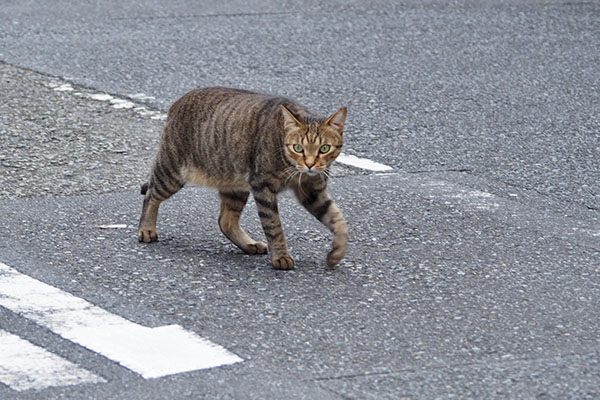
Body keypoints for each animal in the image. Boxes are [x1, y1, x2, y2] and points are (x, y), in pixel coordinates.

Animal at [137, 86, 346, 268]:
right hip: (172, 173)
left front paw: (338, 252)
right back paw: (146, 229)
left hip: (235, 185)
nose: (310, 164)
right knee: (150, 194)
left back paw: (249, 244)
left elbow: (339, 220)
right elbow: (274, 227)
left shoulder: (313, 191)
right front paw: (281, 256)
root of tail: (177, 102)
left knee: (226, 221)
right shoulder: (263, 187)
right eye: (298, 148)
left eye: (324, 148)